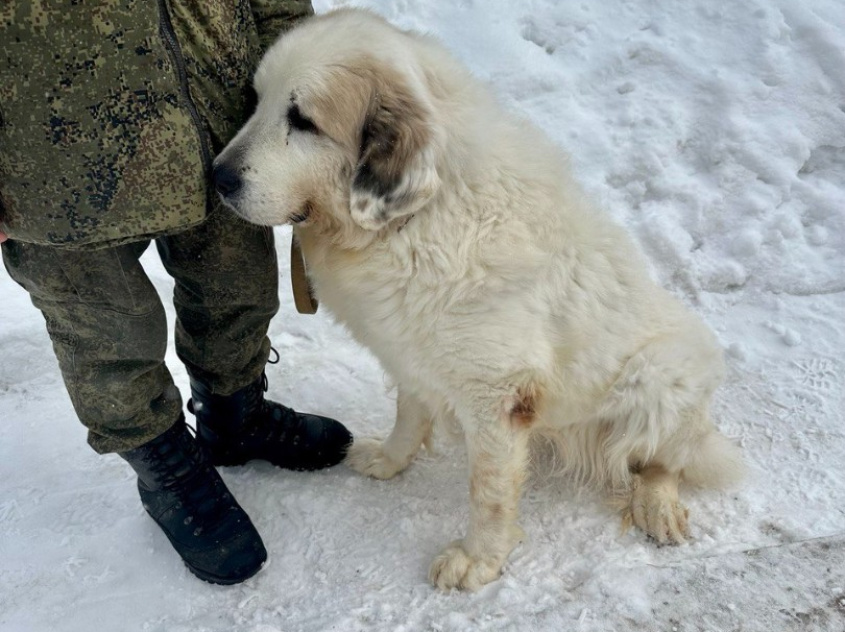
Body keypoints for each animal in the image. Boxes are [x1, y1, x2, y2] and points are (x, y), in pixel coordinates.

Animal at [214, 8, 740, 592]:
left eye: (302, 120)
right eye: (256, 100)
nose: (216, 177)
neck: (413, 221)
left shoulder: (497, 395)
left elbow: (487, 491)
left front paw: (479, 559)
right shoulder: (409, 349)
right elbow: (409, 415)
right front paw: (390, 461)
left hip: (659, 372)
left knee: (663, 458)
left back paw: (657, 505)